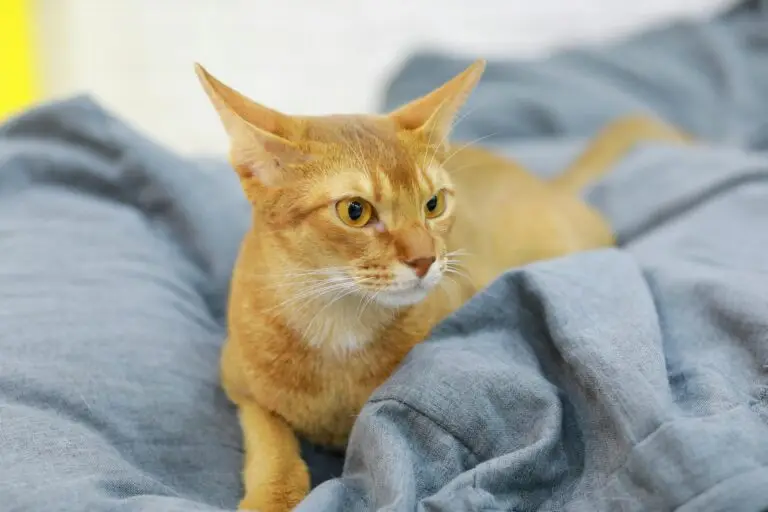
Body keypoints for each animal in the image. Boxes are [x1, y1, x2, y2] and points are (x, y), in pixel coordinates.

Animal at [194, 58, 688, 510]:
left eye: (433, 204)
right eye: (355, 211)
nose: (425, 259)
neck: (339, 328)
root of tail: (548, 185)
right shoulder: (236, 379)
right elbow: (270, 438)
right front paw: (272, 495)